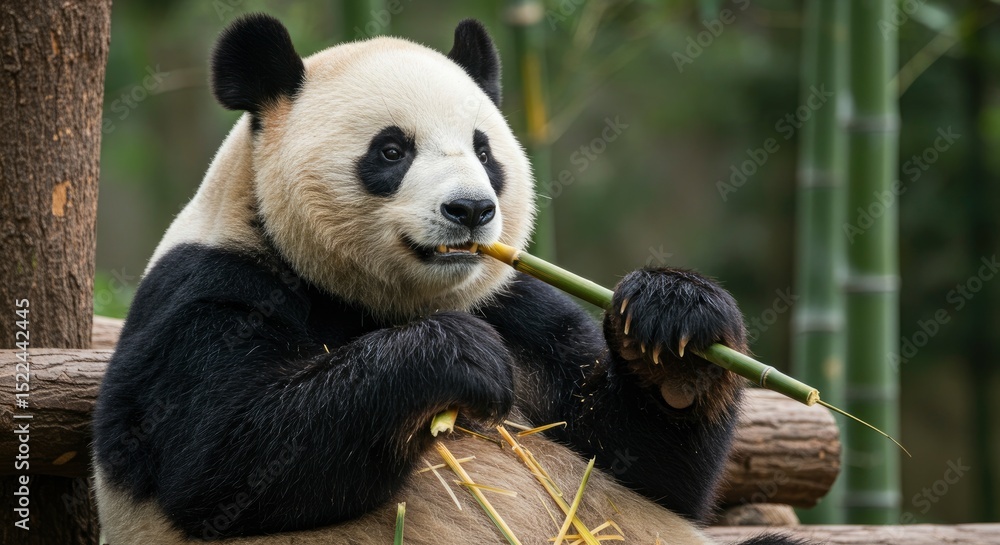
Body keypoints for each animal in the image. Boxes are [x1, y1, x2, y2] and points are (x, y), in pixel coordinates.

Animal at [92, 14, 806, 545]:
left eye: (485, 151)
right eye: (391, 150)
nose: (471, 210)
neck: (376, 301)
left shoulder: (517, 304)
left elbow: (645, 466)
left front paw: (674, 321)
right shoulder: (208, 289)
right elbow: (222, 459)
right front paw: (455, 357)